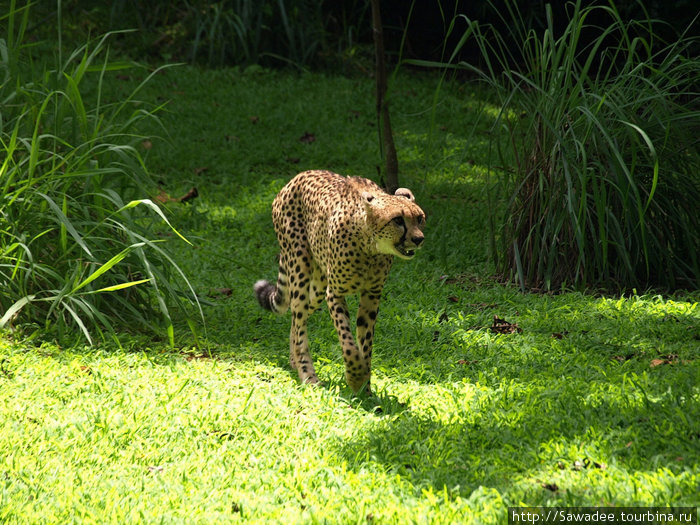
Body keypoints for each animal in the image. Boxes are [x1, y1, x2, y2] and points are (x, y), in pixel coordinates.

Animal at [254, 170, 424, 390]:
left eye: (419, 218)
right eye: (398, 220)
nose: (419, 239)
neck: (370, 248)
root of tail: (299, 176)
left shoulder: (372, 294)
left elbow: (365, 342)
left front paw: (365, 386)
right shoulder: (335, 293)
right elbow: (348, 342)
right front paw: (356, 376)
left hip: (317, 287)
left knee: (296, 317)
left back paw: (293, 360)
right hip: (299, 268)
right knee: (299, 321)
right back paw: (308, 375)